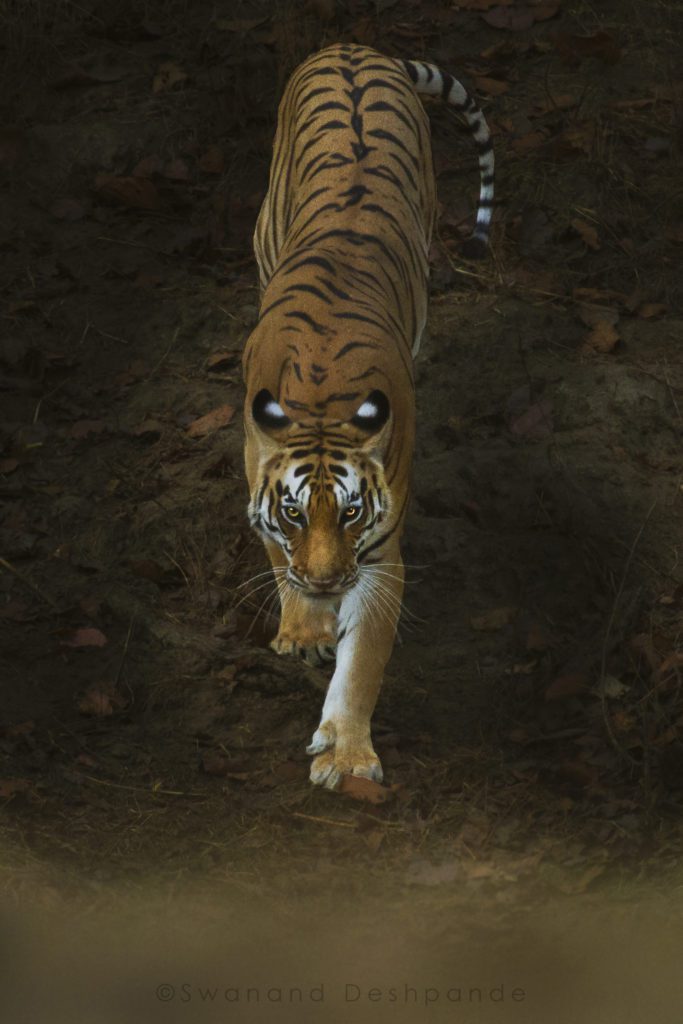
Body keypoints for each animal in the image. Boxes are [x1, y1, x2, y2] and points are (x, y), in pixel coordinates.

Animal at [242, 44, 493, 786]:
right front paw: (304, 628)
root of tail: (354, 49)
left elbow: (364, 666)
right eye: (294, 511)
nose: (328, 582)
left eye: (353, 512)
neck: (323, 398)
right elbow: (278, 558)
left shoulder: (382, 558)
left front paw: (348, 755)